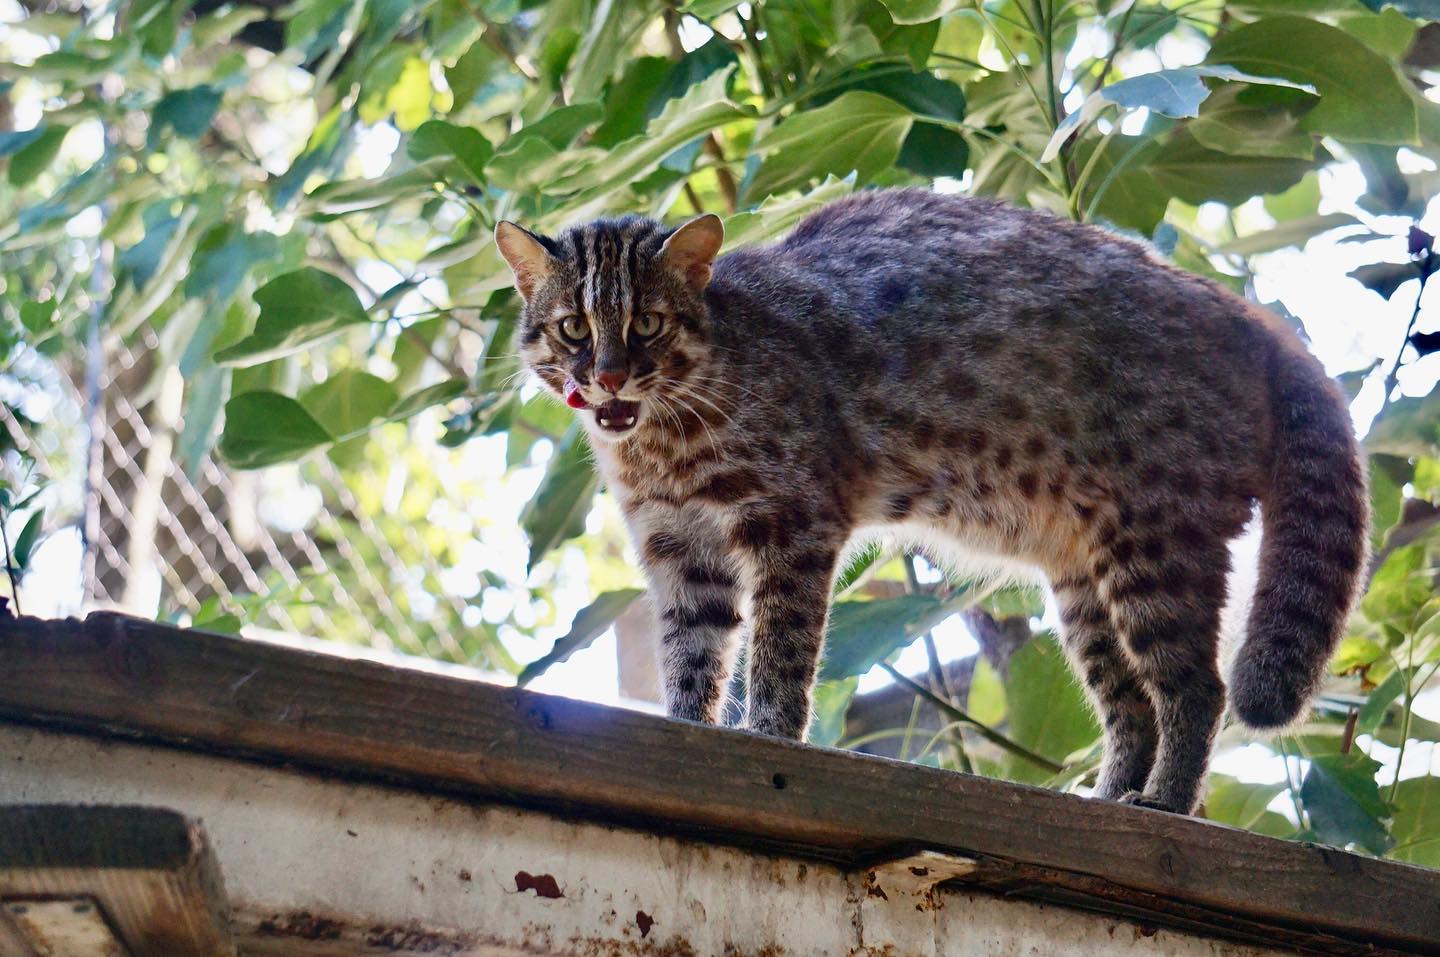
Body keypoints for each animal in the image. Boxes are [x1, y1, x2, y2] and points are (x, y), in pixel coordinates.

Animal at [492, 189, 1359, 817]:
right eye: (571, 328)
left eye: (646, 324)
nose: (607, 376)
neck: (663, 441)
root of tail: (1250, 316)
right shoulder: (678, 548)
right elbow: (690, 655)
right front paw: (686, 735)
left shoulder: (795, 523)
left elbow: (779, 653)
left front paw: (768, 737)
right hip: (1084, 582)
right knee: (1129, 705)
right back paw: (1114, 794)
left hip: (1157, 545)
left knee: (1197, 688)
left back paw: (1167, 801)